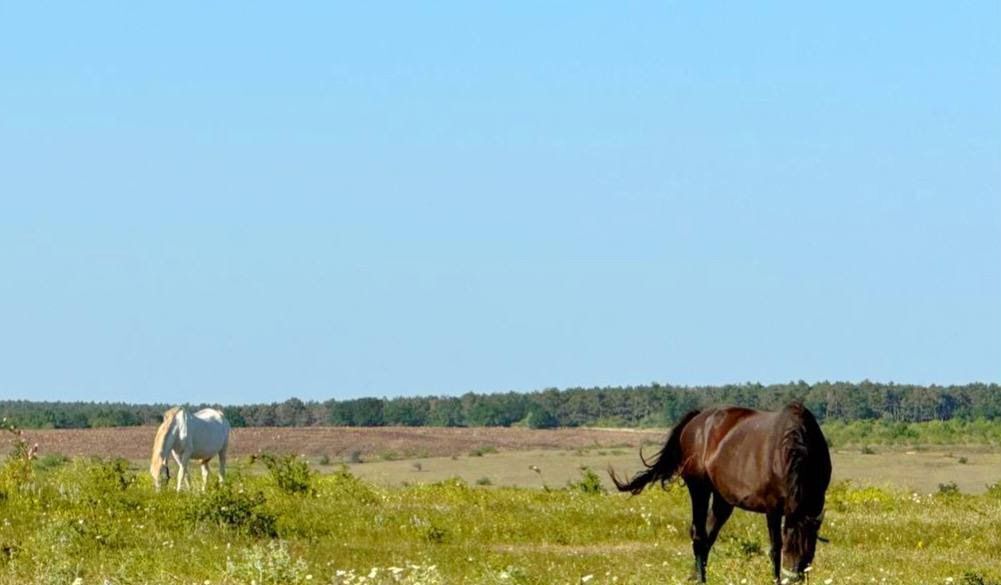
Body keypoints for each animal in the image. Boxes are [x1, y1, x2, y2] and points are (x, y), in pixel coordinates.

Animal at [608, 404, 828, 580]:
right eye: (790, 547)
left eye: (808, 549)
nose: (793, 579)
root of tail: (695, 420)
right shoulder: (773, 508)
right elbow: (775, 549)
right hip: (699, 488)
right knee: (699, 536)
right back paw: (700, 578)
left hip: (723, 500)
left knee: (708, 536)